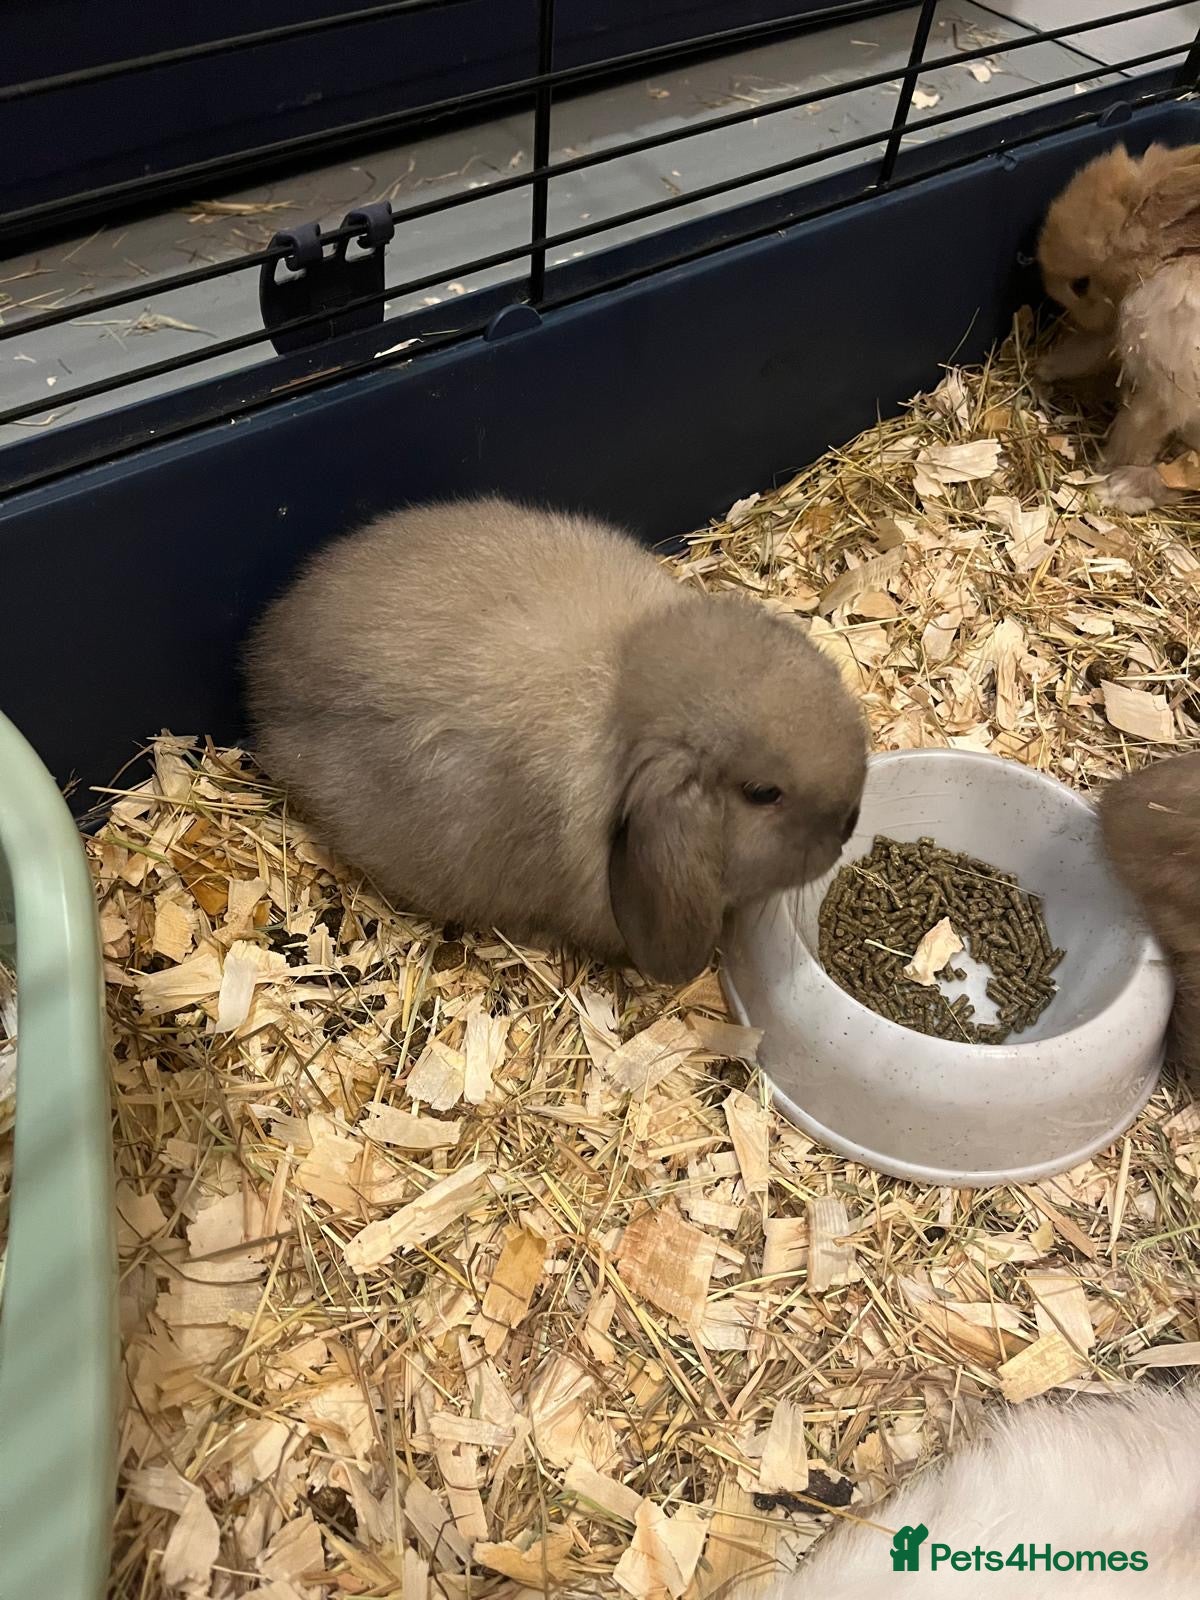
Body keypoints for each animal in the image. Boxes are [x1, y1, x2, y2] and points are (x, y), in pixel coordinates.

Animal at [1037, 141, 1200, 513]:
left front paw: (1106, 464)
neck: (1167, 254)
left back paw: (1115, 486)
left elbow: (1136, 426)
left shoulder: (1161, 382)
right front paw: (1044, 368)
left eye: (1080, 284)